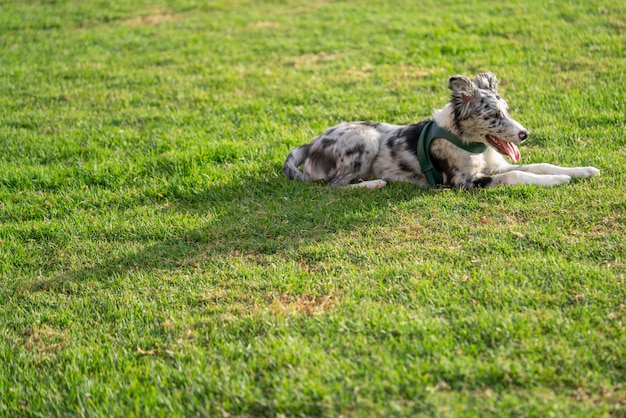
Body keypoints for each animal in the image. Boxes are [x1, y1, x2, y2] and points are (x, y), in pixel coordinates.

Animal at [282, 72, 596, 189]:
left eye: (507, 111)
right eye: (493, 115)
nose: (524, 134)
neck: (470, 143)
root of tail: (311, 144)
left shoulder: (494, 167)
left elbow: (540, 165)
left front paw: (583, 170)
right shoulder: (463, 182)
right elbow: (516, 174)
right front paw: (558, 180)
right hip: (366, 138)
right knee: (333, 186)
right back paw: (376, 183)